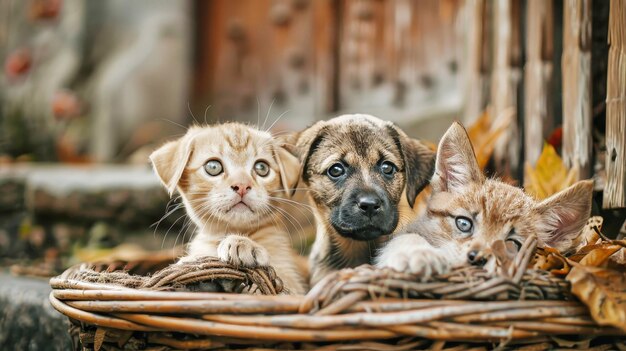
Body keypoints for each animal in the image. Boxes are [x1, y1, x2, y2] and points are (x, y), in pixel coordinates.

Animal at [151, 124, 308, 294]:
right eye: (213, 167)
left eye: (261, 167)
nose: (242, 186)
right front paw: (196, 269)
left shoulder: (294, 288)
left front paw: (242, 243)